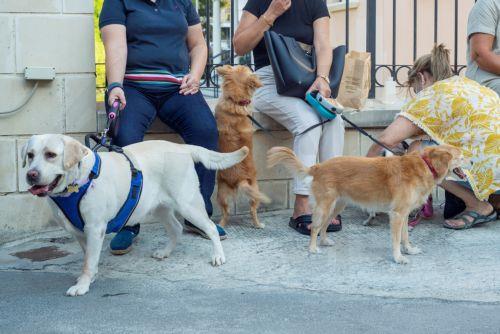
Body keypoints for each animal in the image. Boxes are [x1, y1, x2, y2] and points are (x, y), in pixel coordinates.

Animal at [22, 134, 249, 296]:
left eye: (51, 154)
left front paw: (83, 285)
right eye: (30, 155)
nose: (30, 175)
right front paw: (90, 277)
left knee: (210, 227)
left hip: (188, 204)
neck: (77, 182)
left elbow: (88, 261)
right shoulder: (80, 232)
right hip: (159, 207)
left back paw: (218, 256)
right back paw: (165, 252)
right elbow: (89, 257)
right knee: (176, 228)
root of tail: (181, 147)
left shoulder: (95, 228)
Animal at [215, 64, 270, 228]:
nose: (245, 63)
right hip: (249, 191)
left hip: (224, 193)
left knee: (228, 212)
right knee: (249, 211)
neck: (235, 102)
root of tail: (240, 179)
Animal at [268, 145, 466, 264]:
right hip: (325, 206)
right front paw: (398, 257)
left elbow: (405, 236)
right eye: (461, 157)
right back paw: (313, 248)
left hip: (337, 207)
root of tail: (318, 166)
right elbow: (396, 239)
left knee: (324, 226)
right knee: (315, 228)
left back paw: (324, 242)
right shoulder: (397, 215)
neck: (426, 164)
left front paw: (408, 250)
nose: (471, 160)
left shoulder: (404, 214)